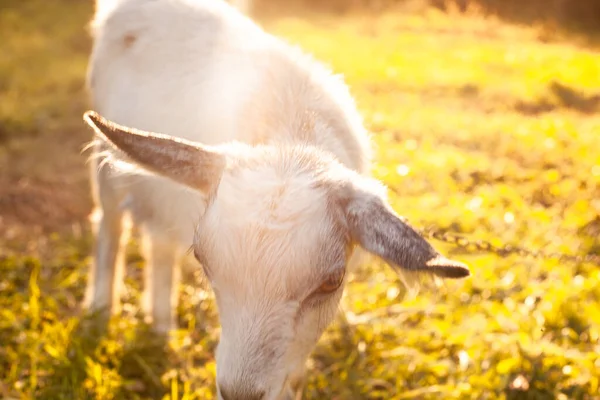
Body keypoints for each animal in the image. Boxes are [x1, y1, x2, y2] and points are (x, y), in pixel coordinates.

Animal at [82, 1, 472, 398]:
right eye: (203, 260)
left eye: (331, 282)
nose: (239, 393)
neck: (293, 133)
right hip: (104, 163)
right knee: (109, 227)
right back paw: (100, 312)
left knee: (158, 241)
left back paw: (160, 325)